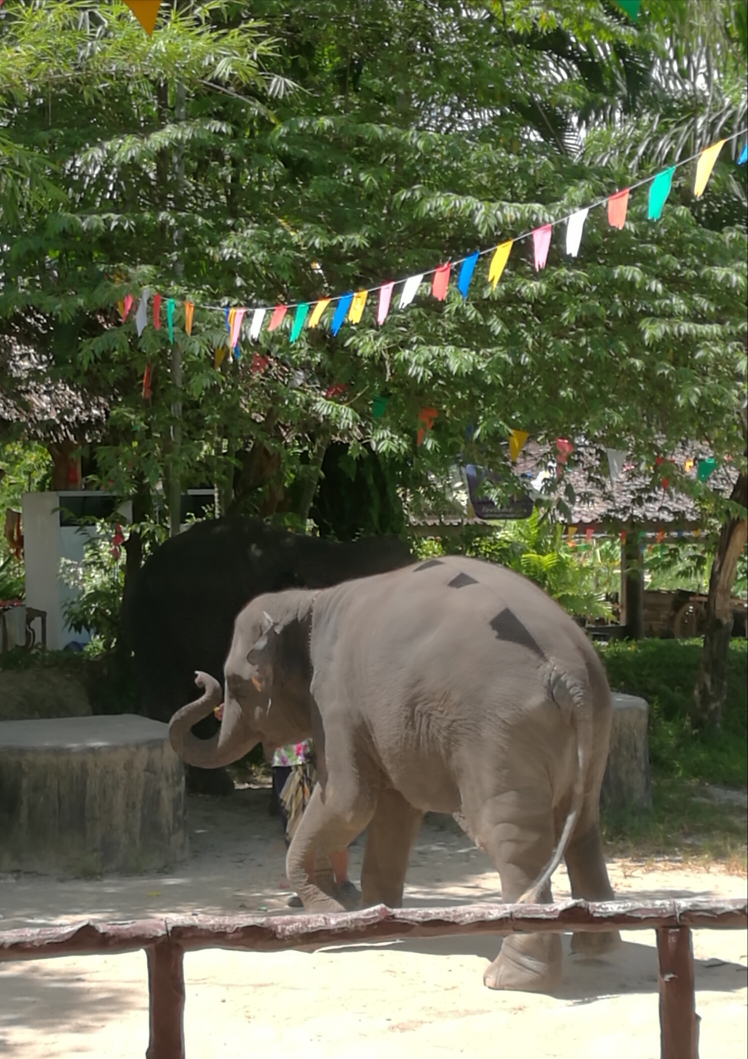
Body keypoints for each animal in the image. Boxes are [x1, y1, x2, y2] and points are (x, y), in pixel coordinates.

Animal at [170, 554, 618, 991]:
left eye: (236, 684)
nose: (199, 679)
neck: (310, 600)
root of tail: (569, 676)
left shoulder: (335, 700)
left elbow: (348, 802)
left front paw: (333, 914)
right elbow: (392, 811)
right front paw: (370, 918)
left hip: (499, 735)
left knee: (511, 840)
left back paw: (508, 978)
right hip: (593, 726)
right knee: (582, 827)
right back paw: (595, 948)